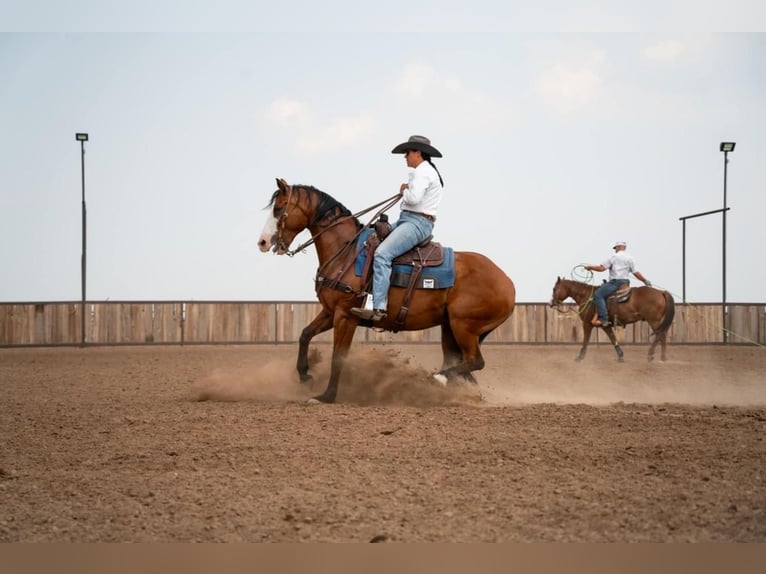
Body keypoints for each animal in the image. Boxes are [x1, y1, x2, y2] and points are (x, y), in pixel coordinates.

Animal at [260, 180, 520, 404]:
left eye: (279, 208)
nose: (262, 242)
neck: (346, 251)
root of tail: (508, 283)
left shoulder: (346, 315)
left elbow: (338, 358)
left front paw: (326, 396)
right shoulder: (330, 311)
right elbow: (305, 334)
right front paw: (305, 375)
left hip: (464, 326)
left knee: (474, 361)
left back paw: (436, 378)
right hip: (450, 328)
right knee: (460, 363)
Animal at [552, 276, 680, 362]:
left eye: (554, 289)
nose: (551, 303)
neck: (587, 296)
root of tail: (661, 292)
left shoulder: (587, 324)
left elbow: (586, 340)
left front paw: (580, 357)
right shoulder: (605, 325)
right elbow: (612, 338)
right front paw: (620, 355)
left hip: (654, 321)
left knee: (659, 335)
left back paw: (651, 354)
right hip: (658, 321)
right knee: (662, 336)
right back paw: (663, 357)